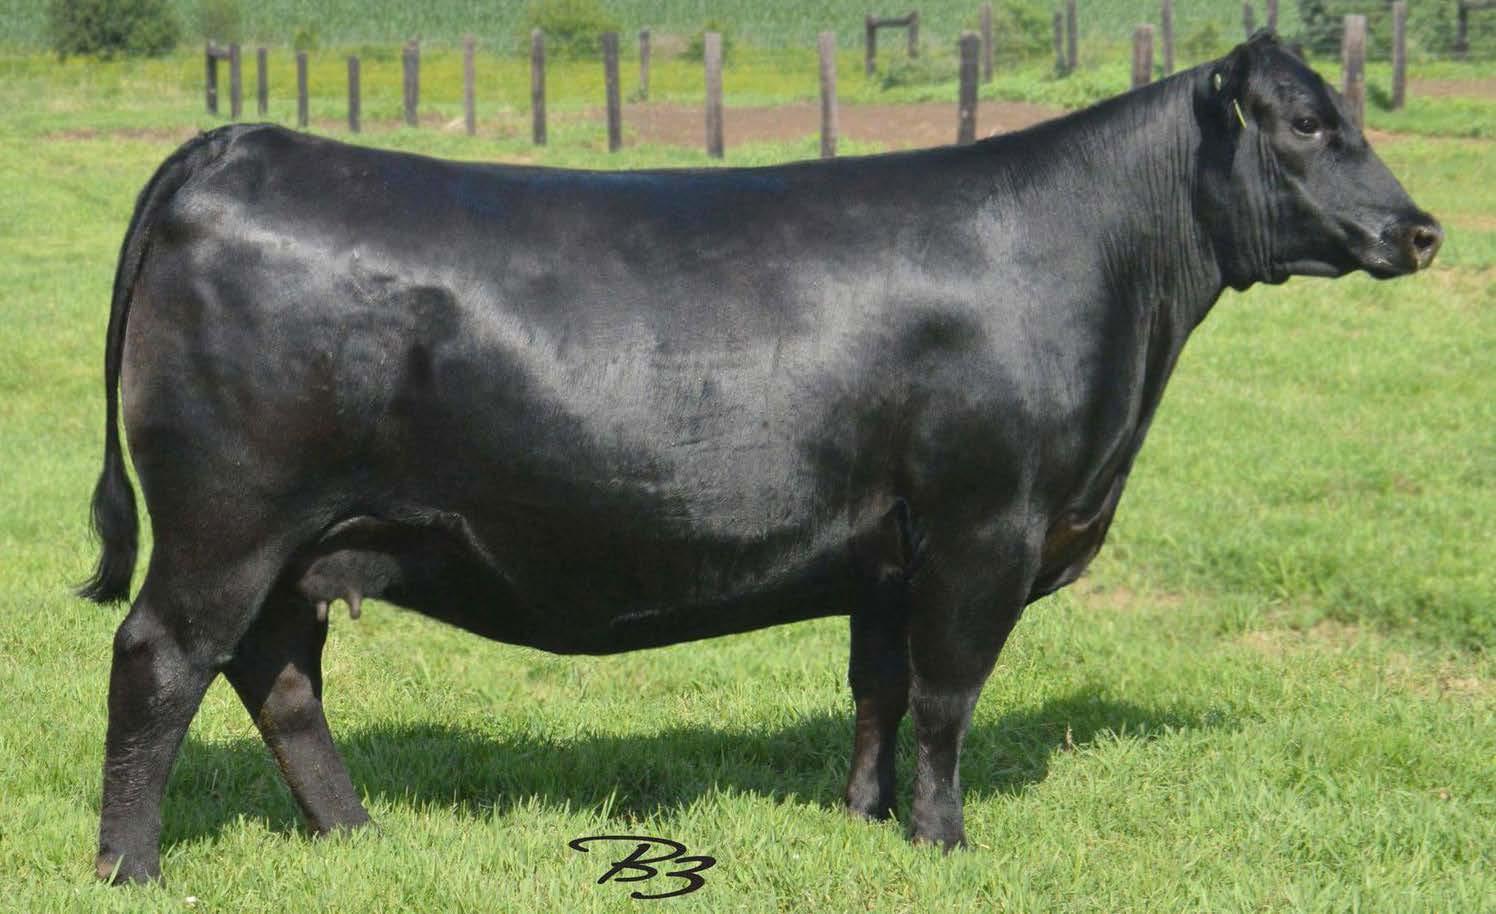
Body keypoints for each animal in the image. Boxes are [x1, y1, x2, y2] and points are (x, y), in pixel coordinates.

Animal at [80, 33, 1440, 883]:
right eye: (1307, 123)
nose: (1421, 230)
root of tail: (243, 142)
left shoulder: (889, 548)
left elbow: (878, 686)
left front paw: (862, 817)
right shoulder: (984, 524)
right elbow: (947, 693)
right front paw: (944, 842)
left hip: (304, 540)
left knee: (276, 673)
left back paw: (355, 833)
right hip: (227, 519)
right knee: (162, 660)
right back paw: (132, 864)